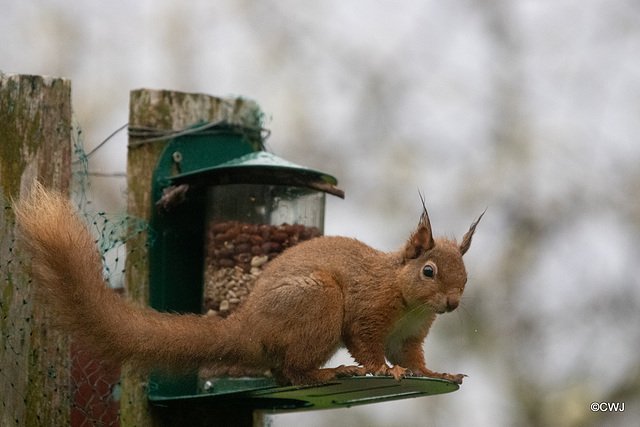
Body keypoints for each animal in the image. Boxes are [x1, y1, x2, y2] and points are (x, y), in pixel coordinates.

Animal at [13, 184, 480, 388]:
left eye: (465, 275)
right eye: (428, 271)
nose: (453, 303)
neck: (408, 301)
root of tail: (248, 327)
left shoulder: (409, 335)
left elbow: (412, 358)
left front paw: (434, 372)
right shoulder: (369, 308)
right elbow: (367, 343)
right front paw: (382, 370)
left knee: (281, 372)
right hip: (320, 300)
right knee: (292, 372)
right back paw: (331, 372)